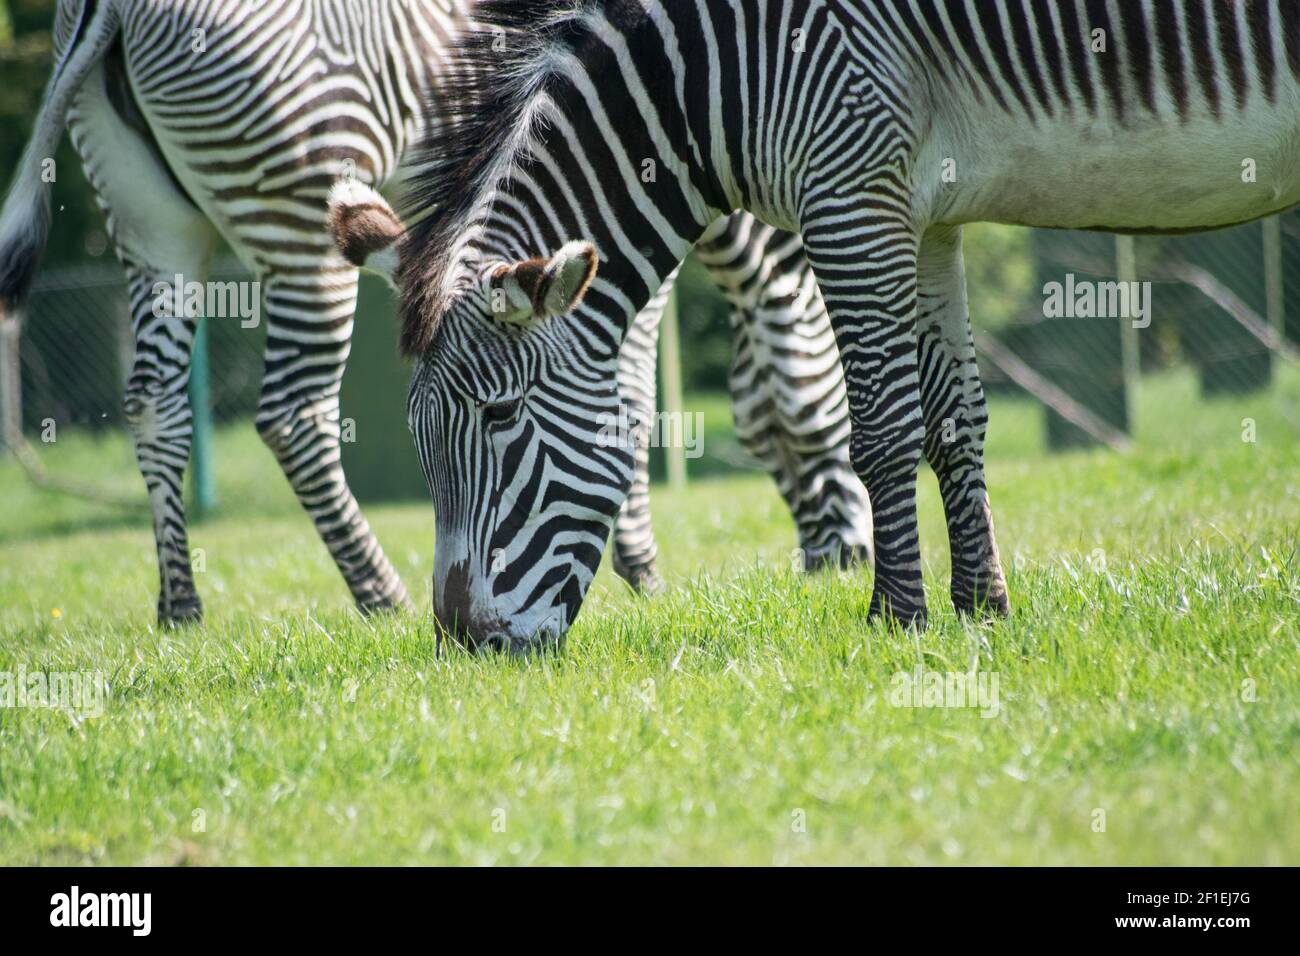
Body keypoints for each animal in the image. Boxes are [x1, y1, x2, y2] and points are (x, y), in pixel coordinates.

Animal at [0, 0, 869, 623]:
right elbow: (630, 388)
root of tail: (105, 3)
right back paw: (379, 594)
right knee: (293, 413)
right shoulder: (619, 268)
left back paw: (181, 606)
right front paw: (644, 569)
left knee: (155, 403)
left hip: (154, 229)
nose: (834, 565)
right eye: (785, 436)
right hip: (294, 206)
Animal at [375, 0, 1300, 650]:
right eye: (415, 434)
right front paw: (982, 609)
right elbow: (955, 423)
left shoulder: (852, 196)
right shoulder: (926, 215)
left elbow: (885, 431)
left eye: (501, 416)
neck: (715, 70)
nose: (466, 649)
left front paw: (898, 619)